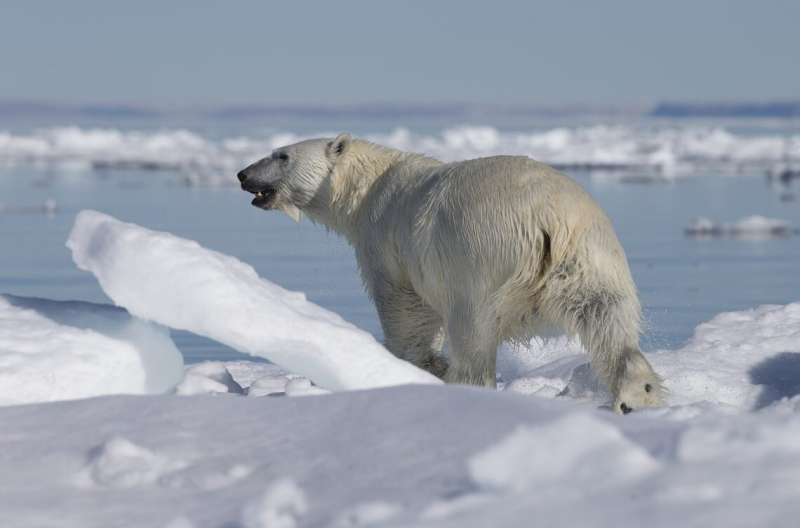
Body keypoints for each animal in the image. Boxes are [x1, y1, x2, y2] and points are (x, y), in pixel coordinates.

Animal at [241, 133, 664, 412]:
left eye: (281, 155)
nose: (243, 173)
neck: (370, 187)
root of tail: (548, 218)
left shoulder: (388, 243)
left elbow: (406, 310)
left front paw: (409, 366)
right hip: (590, 256)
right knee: (606, 317)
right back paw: (637, 393)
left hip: (481, 255)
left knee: (472, 330)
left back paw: (463, 383)